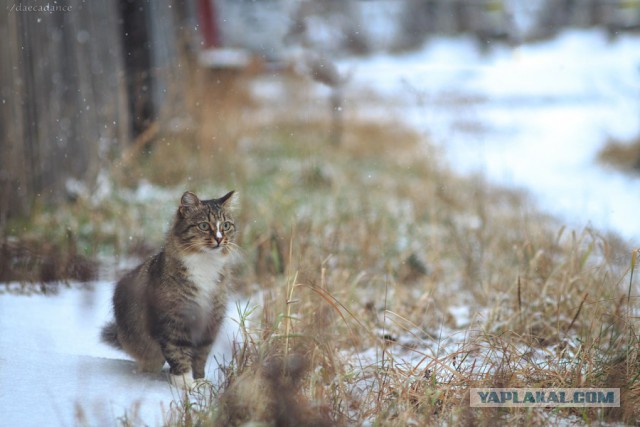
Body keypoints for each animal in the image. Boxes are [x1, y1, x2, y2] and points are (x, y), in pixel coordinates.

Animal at [102, 192, 238, 390]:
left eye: (226, 225)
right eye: (204, 225)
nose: (220, 239)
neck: (206, 265)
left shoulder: (210, 321)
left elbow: (200, 356)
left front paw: (199, 380)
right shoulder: (172, 320)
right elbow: (178, 352)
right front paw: (185, 382)